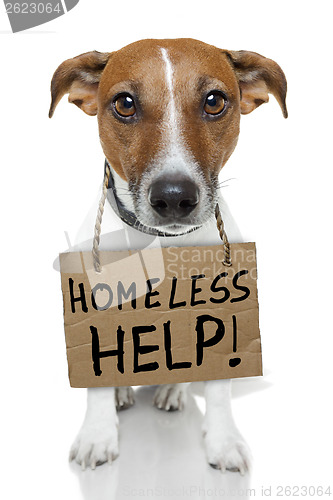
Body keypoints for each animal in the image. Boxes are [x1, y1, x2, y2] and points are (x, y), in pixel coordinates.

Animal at [49, 38, 286, 472]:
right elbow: (95, 381)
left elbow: (219, 386)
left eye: (214, 101)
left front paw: (224, 442)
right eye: (125, 103)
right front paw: (97, 436)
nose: (174, 197)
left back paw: (172, 391)